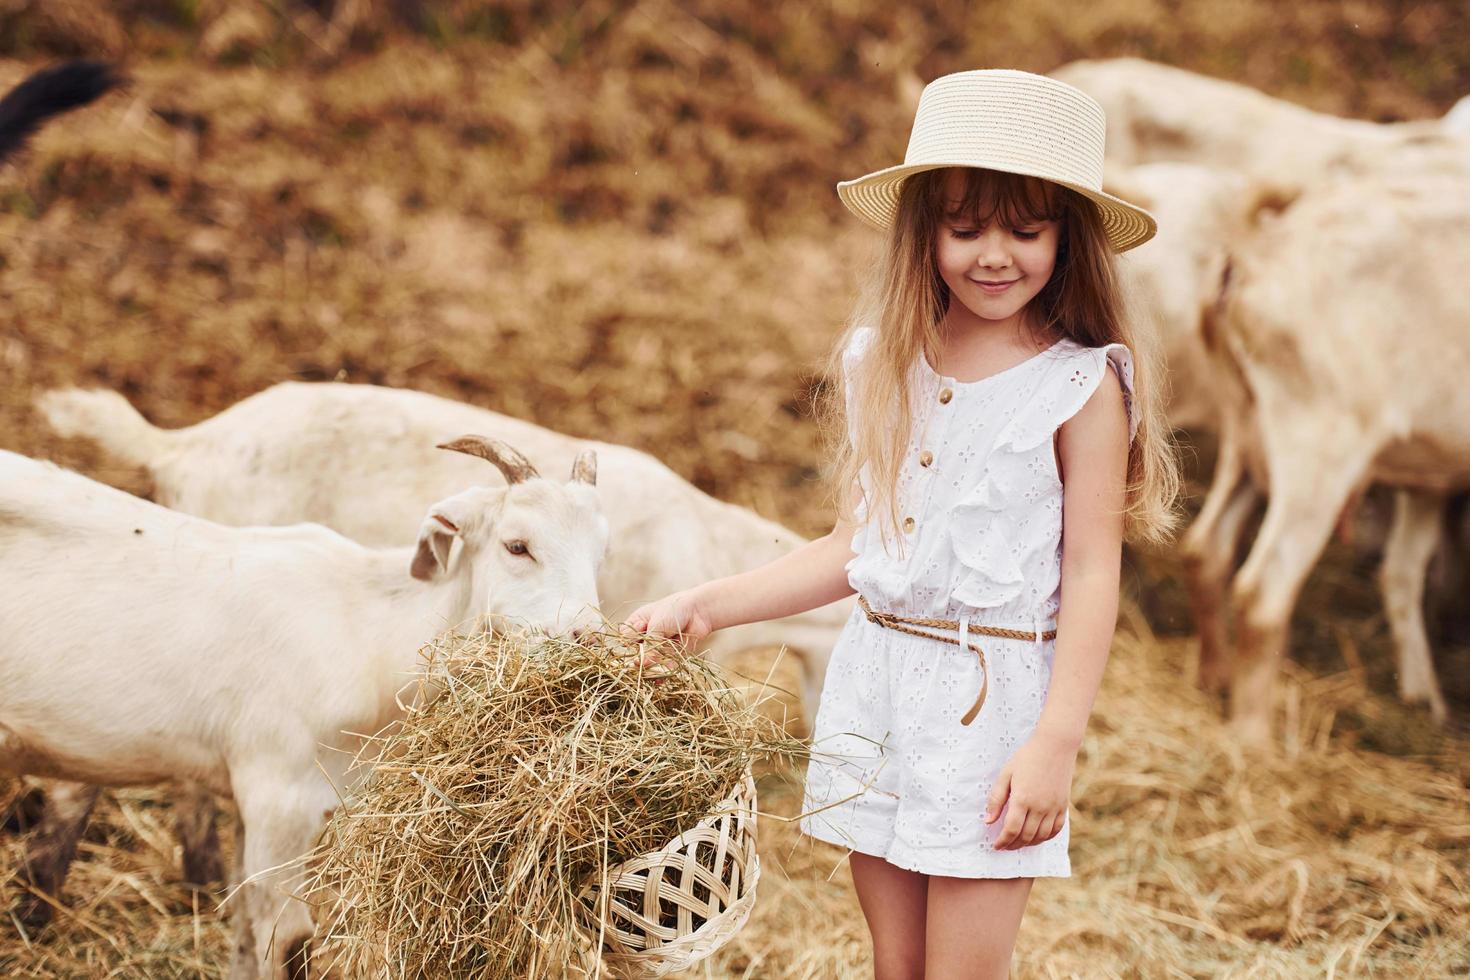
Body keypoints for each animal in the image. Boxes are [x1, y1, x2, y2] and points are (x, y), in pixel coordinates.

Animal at [0, 440, 605, 975]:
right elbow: (287, 941)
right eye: (517, 545)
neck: (366, 625)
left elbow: (246, 934)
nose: (589, 639)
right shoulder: (278, 796)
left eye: (598, 552)